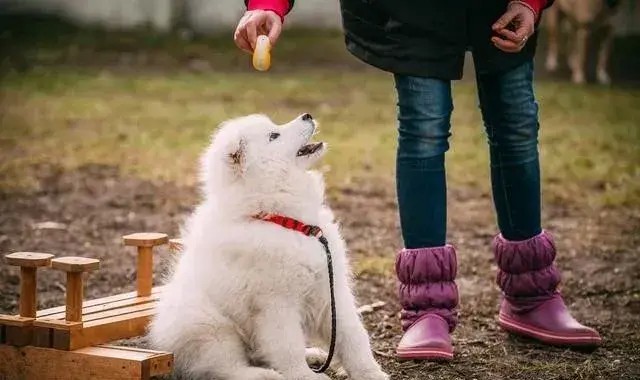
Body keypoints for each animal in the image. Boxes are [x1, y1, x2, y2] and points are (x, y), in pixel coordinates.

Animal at [149, 113, 388, 380]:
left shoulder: (330, 290)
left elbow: (352, 335)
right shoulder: (276, 303)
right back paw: (265, 375)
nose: (307, 115)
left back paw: (312, 355)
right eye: (274, 136)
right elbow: (289, 346)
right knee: (225, 367)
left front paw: (371, 373)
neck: (287, 221)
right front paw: (305, 376)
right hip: (211, 327)